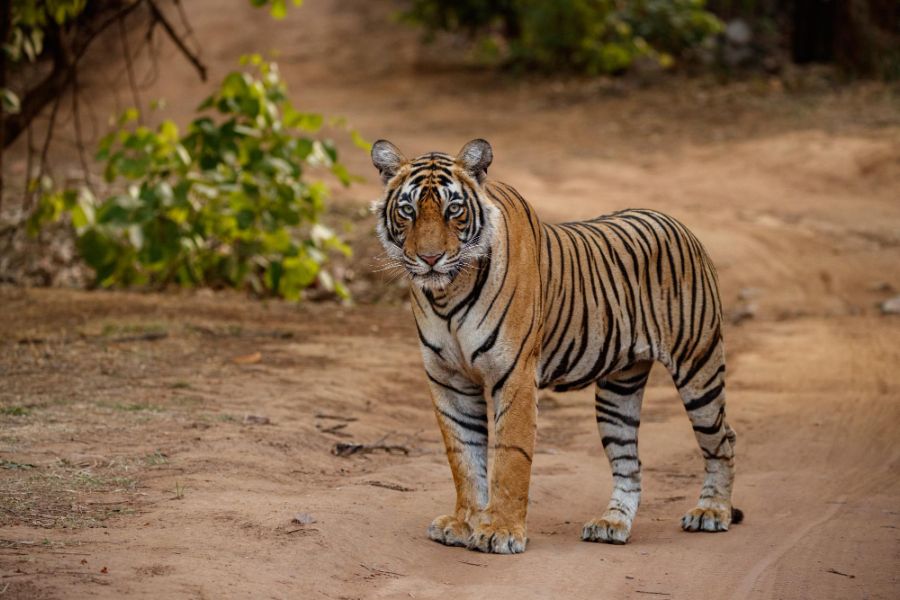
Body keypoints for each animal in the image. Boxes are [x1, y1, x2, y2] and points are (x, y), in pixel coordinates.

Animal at [370, 138, 740, 556]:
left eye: (454, 209)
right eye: (408, 210)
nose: (430, 259)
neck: (447, 295)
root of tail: (678, 224)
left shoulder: (513, 375)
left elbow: (511, 456)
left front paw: (500, 531)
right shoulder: (448, 380)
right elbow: (463, 455)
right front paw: (464, 523)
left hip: (699, 367)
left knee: (722, 440)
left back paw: (712, 512)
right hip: (618, 391)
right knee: (629, 463)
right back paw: (612, 524)